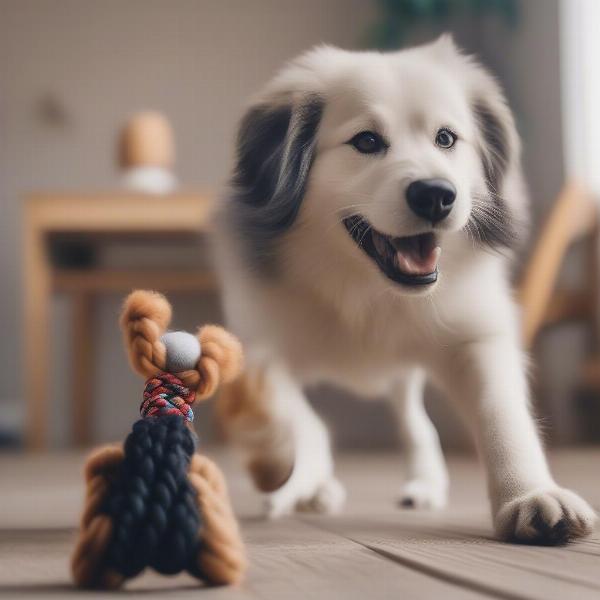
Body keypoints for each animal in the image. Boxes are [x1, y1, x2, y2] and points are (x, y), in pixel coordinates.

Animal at [214, 36, 596, 544]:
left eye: (446, 138)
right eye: (366, 141)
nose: (435, 194)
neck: (367, 292)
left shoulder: (476, 338)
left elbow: (502, 416)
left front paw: (529, 496)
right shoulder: (260, 345)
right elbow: (298, 417)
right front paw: (286, 468)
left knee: (416, 423)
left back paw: (423, 484)